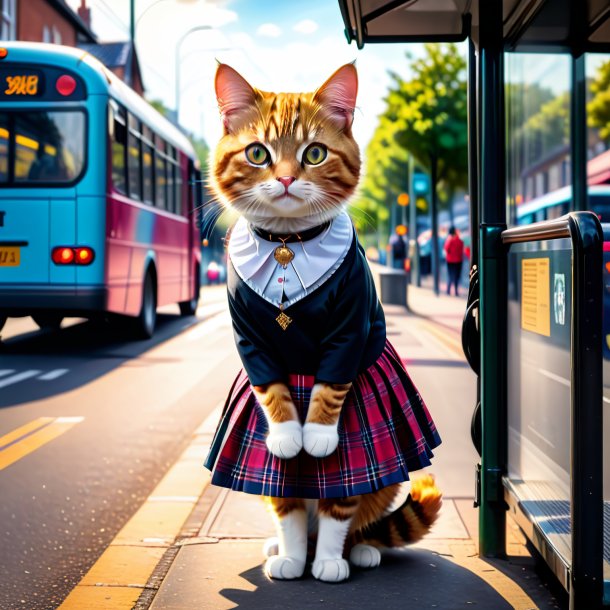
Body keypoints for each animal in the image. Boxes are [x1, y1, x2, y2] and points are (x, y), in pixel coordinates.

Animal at [205, 61, 442, 580]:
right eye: (257, 153)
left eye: (314, 153)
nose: (286, 180)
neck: (286, 243)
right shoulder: (248, 335)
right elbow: (271, 399)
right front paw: (293, 555)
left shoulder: (350, 326)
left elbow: (331, 390)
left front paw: (314, 435)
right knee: (288, 503)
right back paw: (286, 547)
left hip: (381, 485)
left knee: (354, 510)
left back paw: (354, 551)